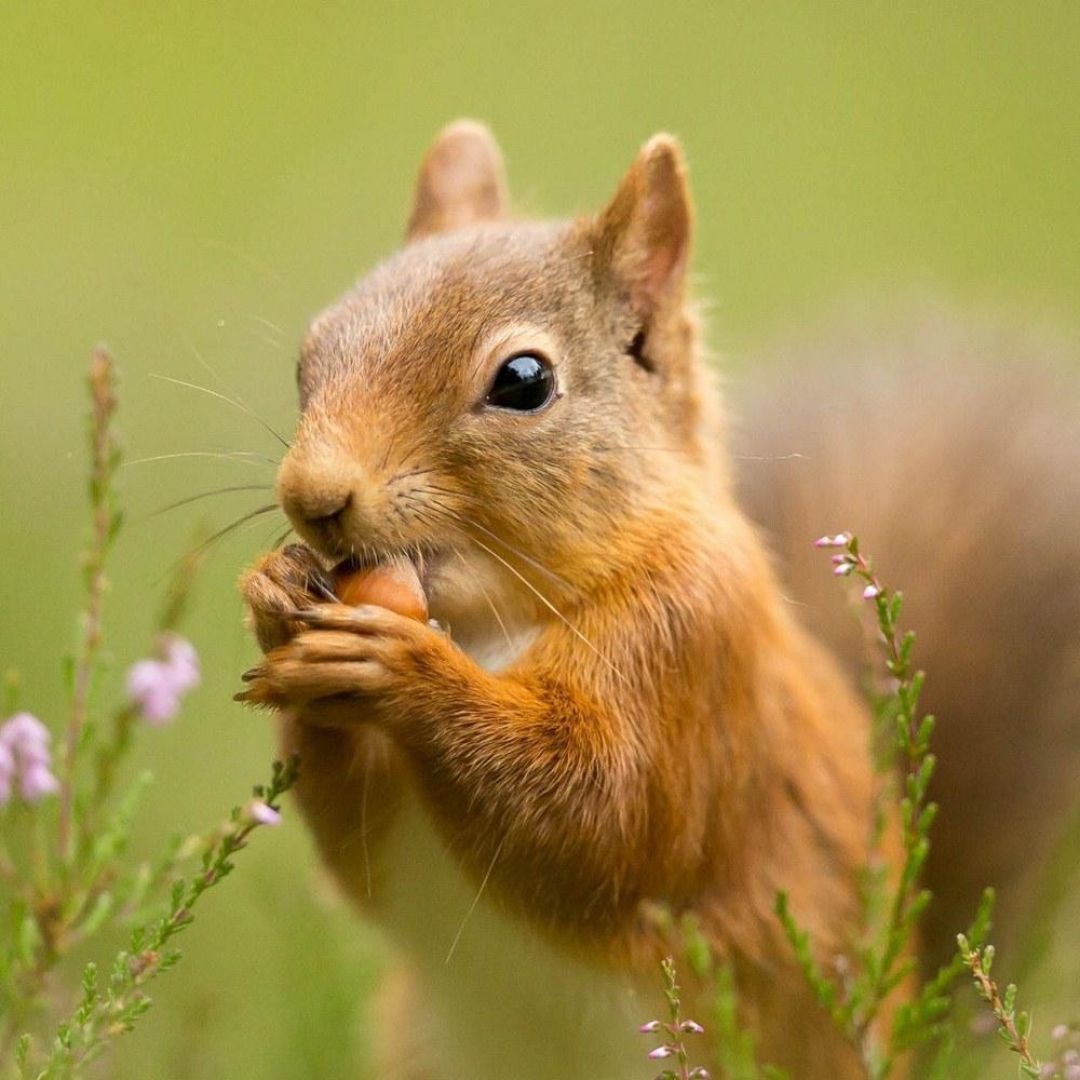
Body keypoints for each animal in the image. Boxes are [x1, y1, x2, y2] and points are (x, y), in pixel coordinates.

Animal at [240, 122, 1075, 1075]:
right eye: (309, 354)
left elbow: (600, 816)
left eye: (523, 381)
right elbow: (360, 850)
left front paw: (402, 668)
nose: (313, 496)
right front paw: (274, 597)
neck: (492, 623)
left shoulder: (689, 648)